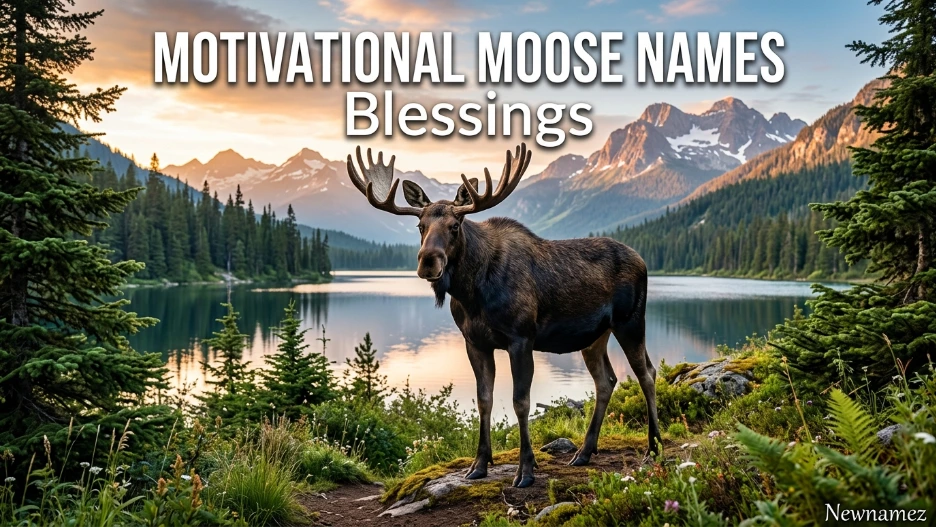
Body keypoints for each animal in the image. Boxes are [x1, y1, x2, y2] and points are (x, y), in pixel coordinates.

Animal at [346, 143, 661, 488]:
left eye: (455, 226)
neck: (472, 295)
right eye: (420, 226)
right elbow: (485, 399)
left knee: (646, 373)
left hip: (631, 321)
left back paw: (653, 447)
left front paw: (526, 470)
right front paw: (479, 465)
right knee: (606, 380)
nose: (428, 260)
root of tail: (643, 260)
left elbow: (520, 401)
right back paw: (584, 452)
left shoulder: (521, 338)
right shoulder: (475, 342)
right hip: (594, 336)